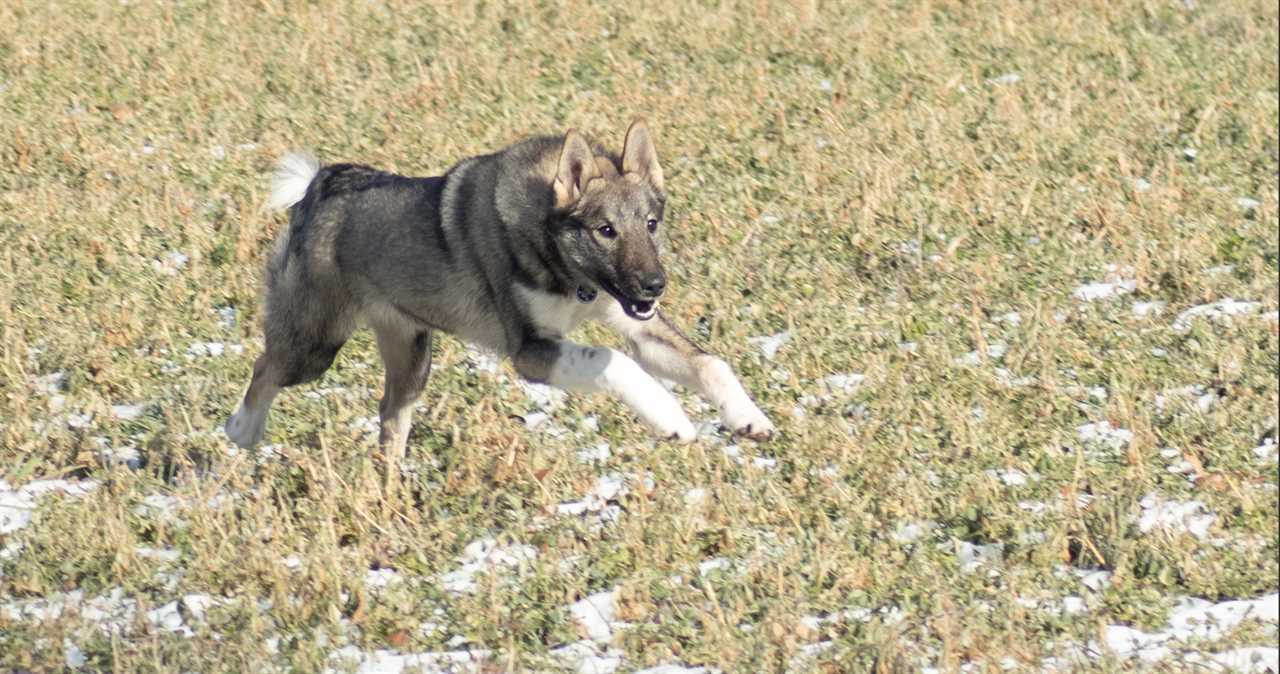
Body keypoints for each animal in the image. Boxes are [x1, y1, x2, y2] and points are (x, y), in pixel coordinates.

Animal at [225, 118, 773, 460]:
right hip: (314, 345)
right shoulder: (531, 351)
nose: (655, 286)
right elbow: (616, 362)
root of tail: (320, 184)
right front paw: (672, 419)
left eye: (652, 224)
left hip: (412, 360)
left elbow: (710, 363)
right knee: (264, 369)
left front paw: (748, 417)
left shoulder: (633, 321)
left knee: (388, 418)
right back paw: (242, 431)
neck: (570, 276)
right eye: (606, 231)